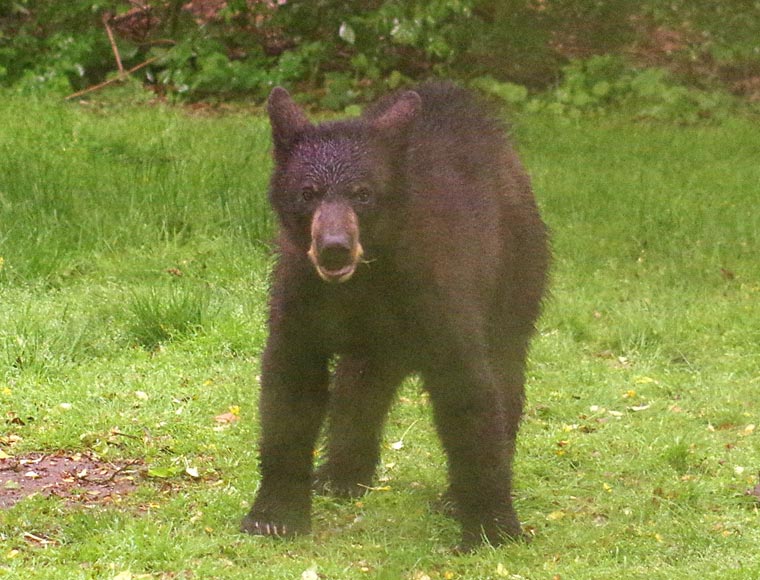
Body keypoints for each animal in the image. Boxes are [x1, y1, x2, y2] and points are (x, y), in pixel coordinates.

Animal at [241, 81, 550, 550]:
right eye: (308, 192)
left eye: (363, 193)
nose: (334, 248)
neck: (365, 280)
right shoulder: (301, 299)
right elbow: (290, 391)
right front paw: (273, 515)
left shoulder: (438, 296)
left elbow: (470, 395)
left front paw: (491, 526)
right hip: (375, 344)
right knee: (358, 388)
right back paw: (340, 475)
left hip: (516, 269)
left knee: (505, 372)